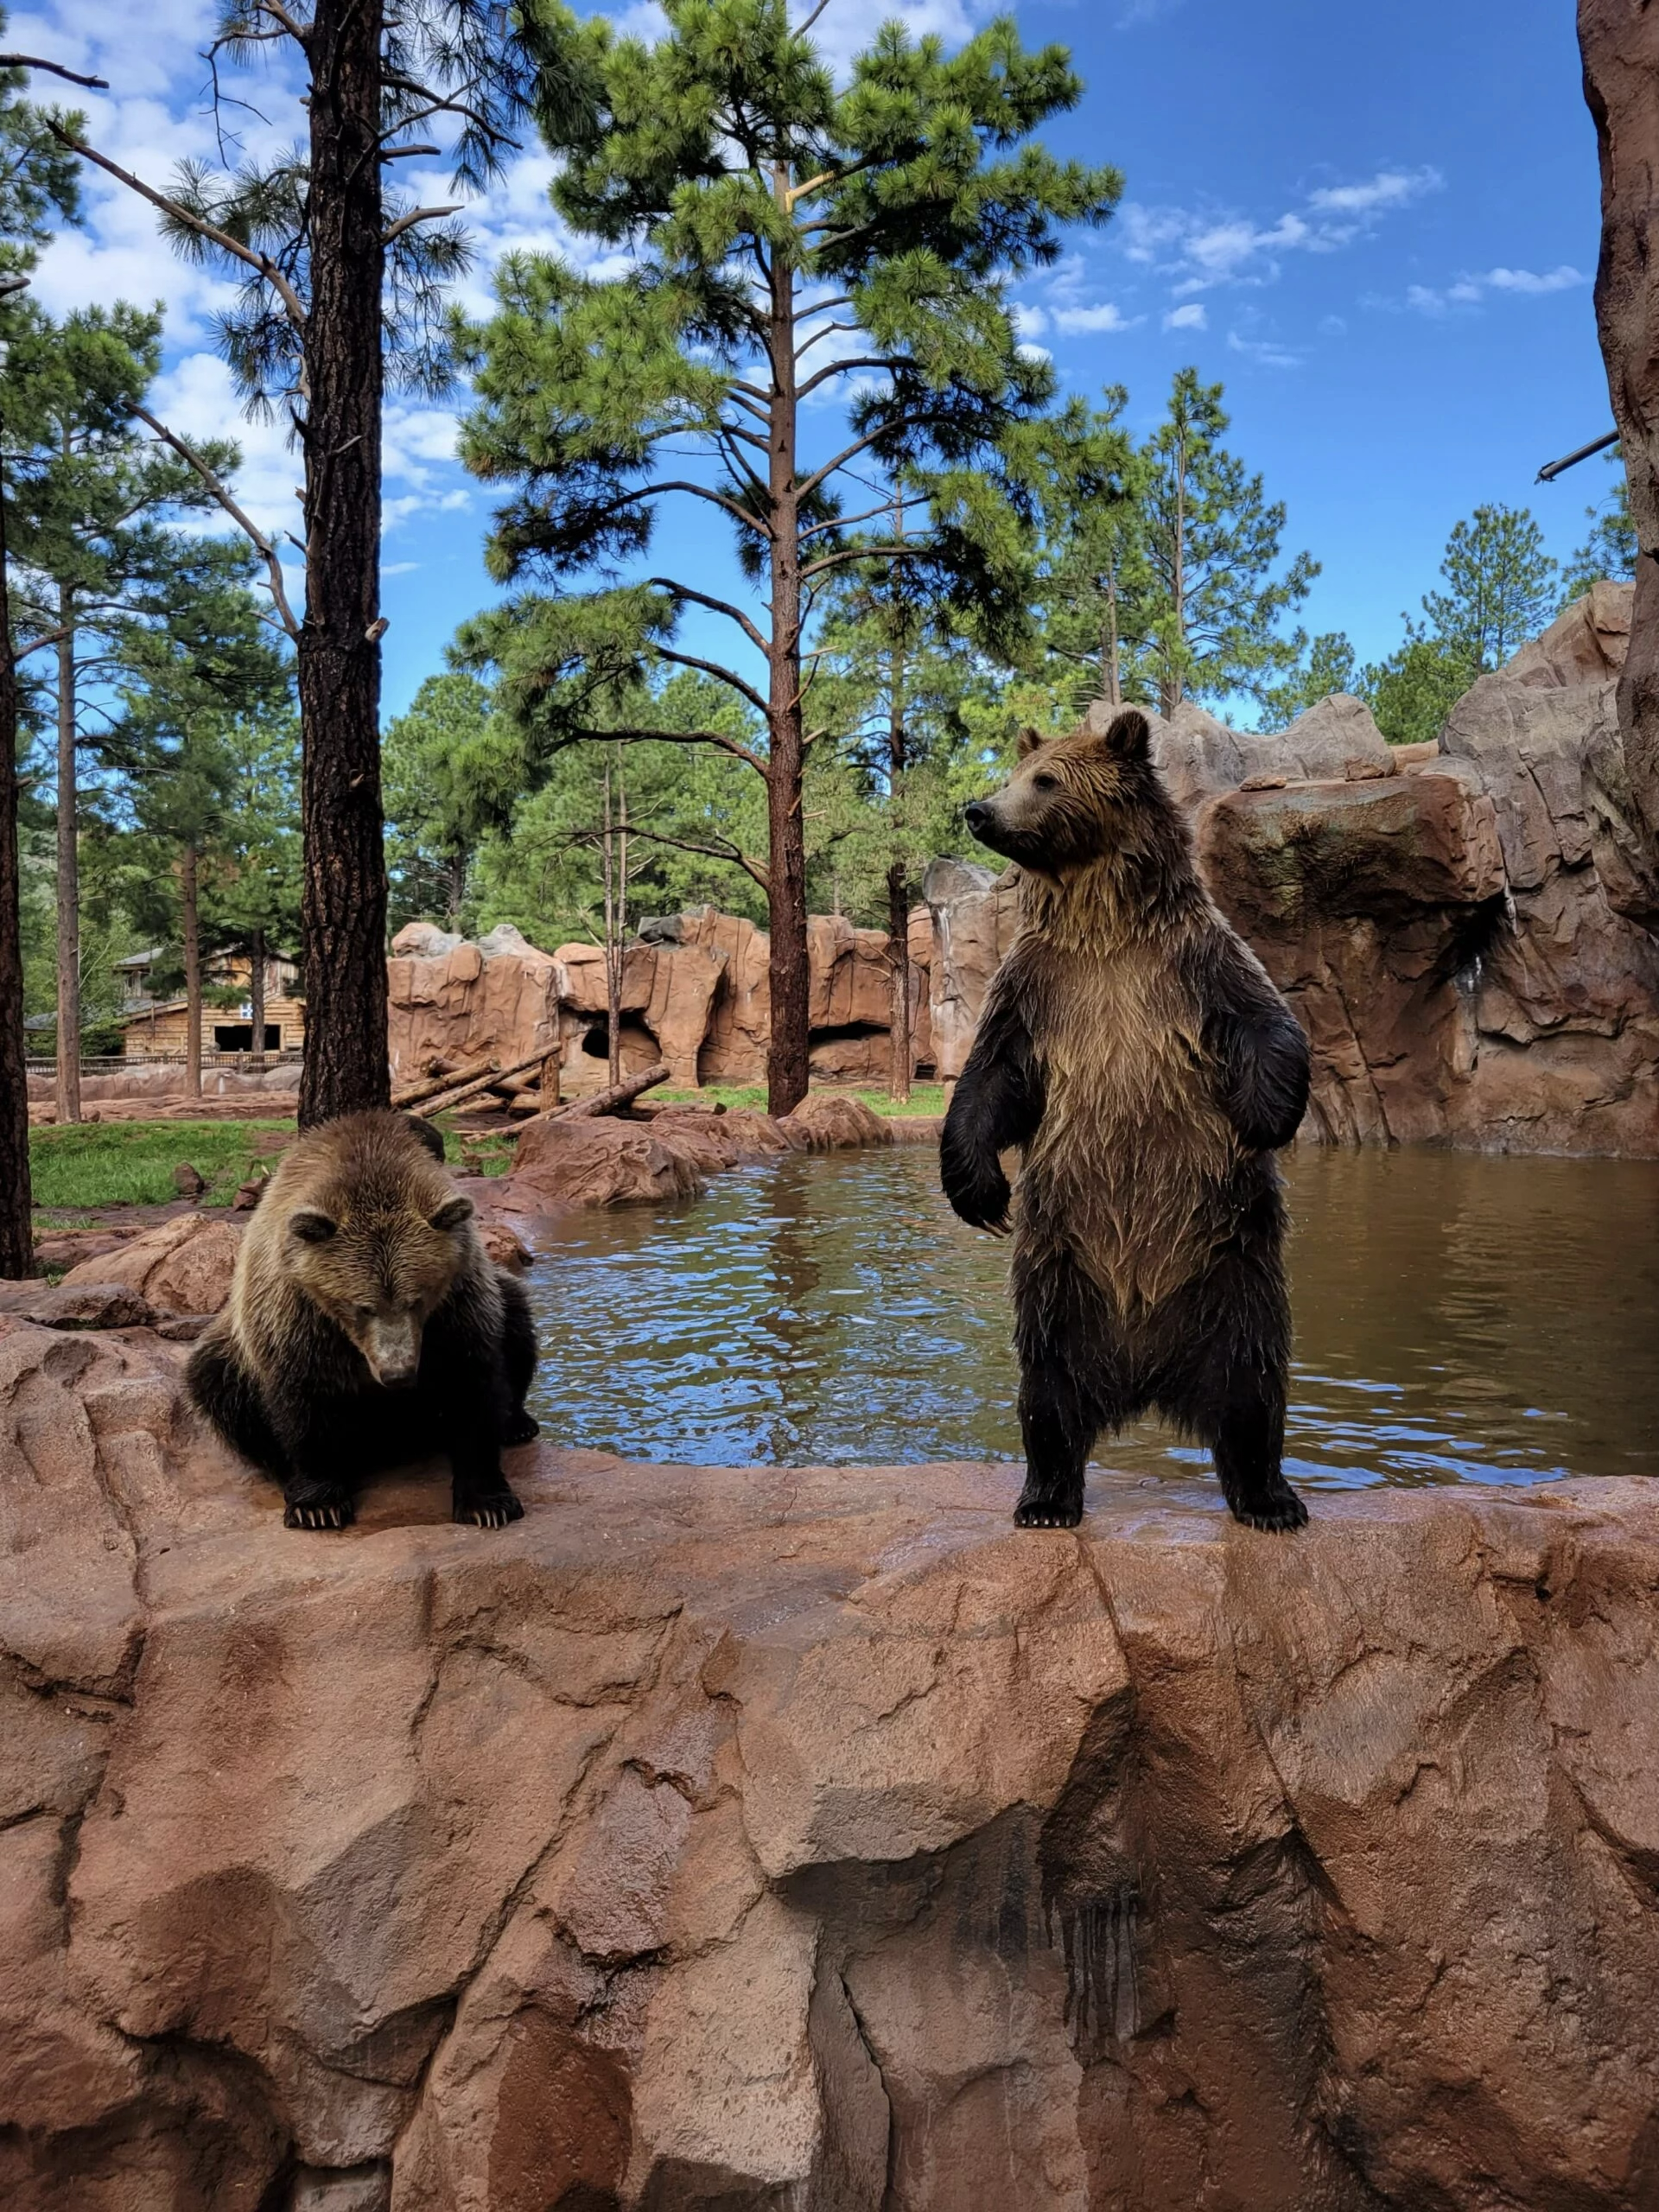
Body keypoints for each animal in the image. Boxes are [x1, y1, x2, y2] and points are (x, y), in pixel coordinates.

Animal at [187, 1111, 540, 1530]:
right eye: (362, 1306)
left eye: (417, 1300)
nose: (398, 1375)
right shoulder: (295, 1312)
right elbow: (304, 1399)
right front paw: (317, 1505)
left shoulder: (458, 1305)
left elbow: (471, 1384)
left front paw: (487, 1503)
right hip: (233, 1348)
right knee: (216, 1380)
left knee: (518, 1323)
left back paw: (517, 1424)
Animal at [940, 708, 1311, 1533]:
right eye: (1016, 774)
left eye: (1045, 780)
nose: (979, 810)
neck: (1105, 931)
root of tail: (1146, 1378)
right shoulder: (1038, 989)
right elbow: (989, 1081)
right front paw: (979, 1192)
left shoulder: (1195, 965)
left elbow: (1269, 1025)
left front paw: (1265, 1120)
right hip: (1061, 1277)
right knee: (1047, 1395)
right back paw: (1046, 1499)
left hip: (1232, 1275)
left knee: (1253, 1390)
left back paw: (1270, 1499)